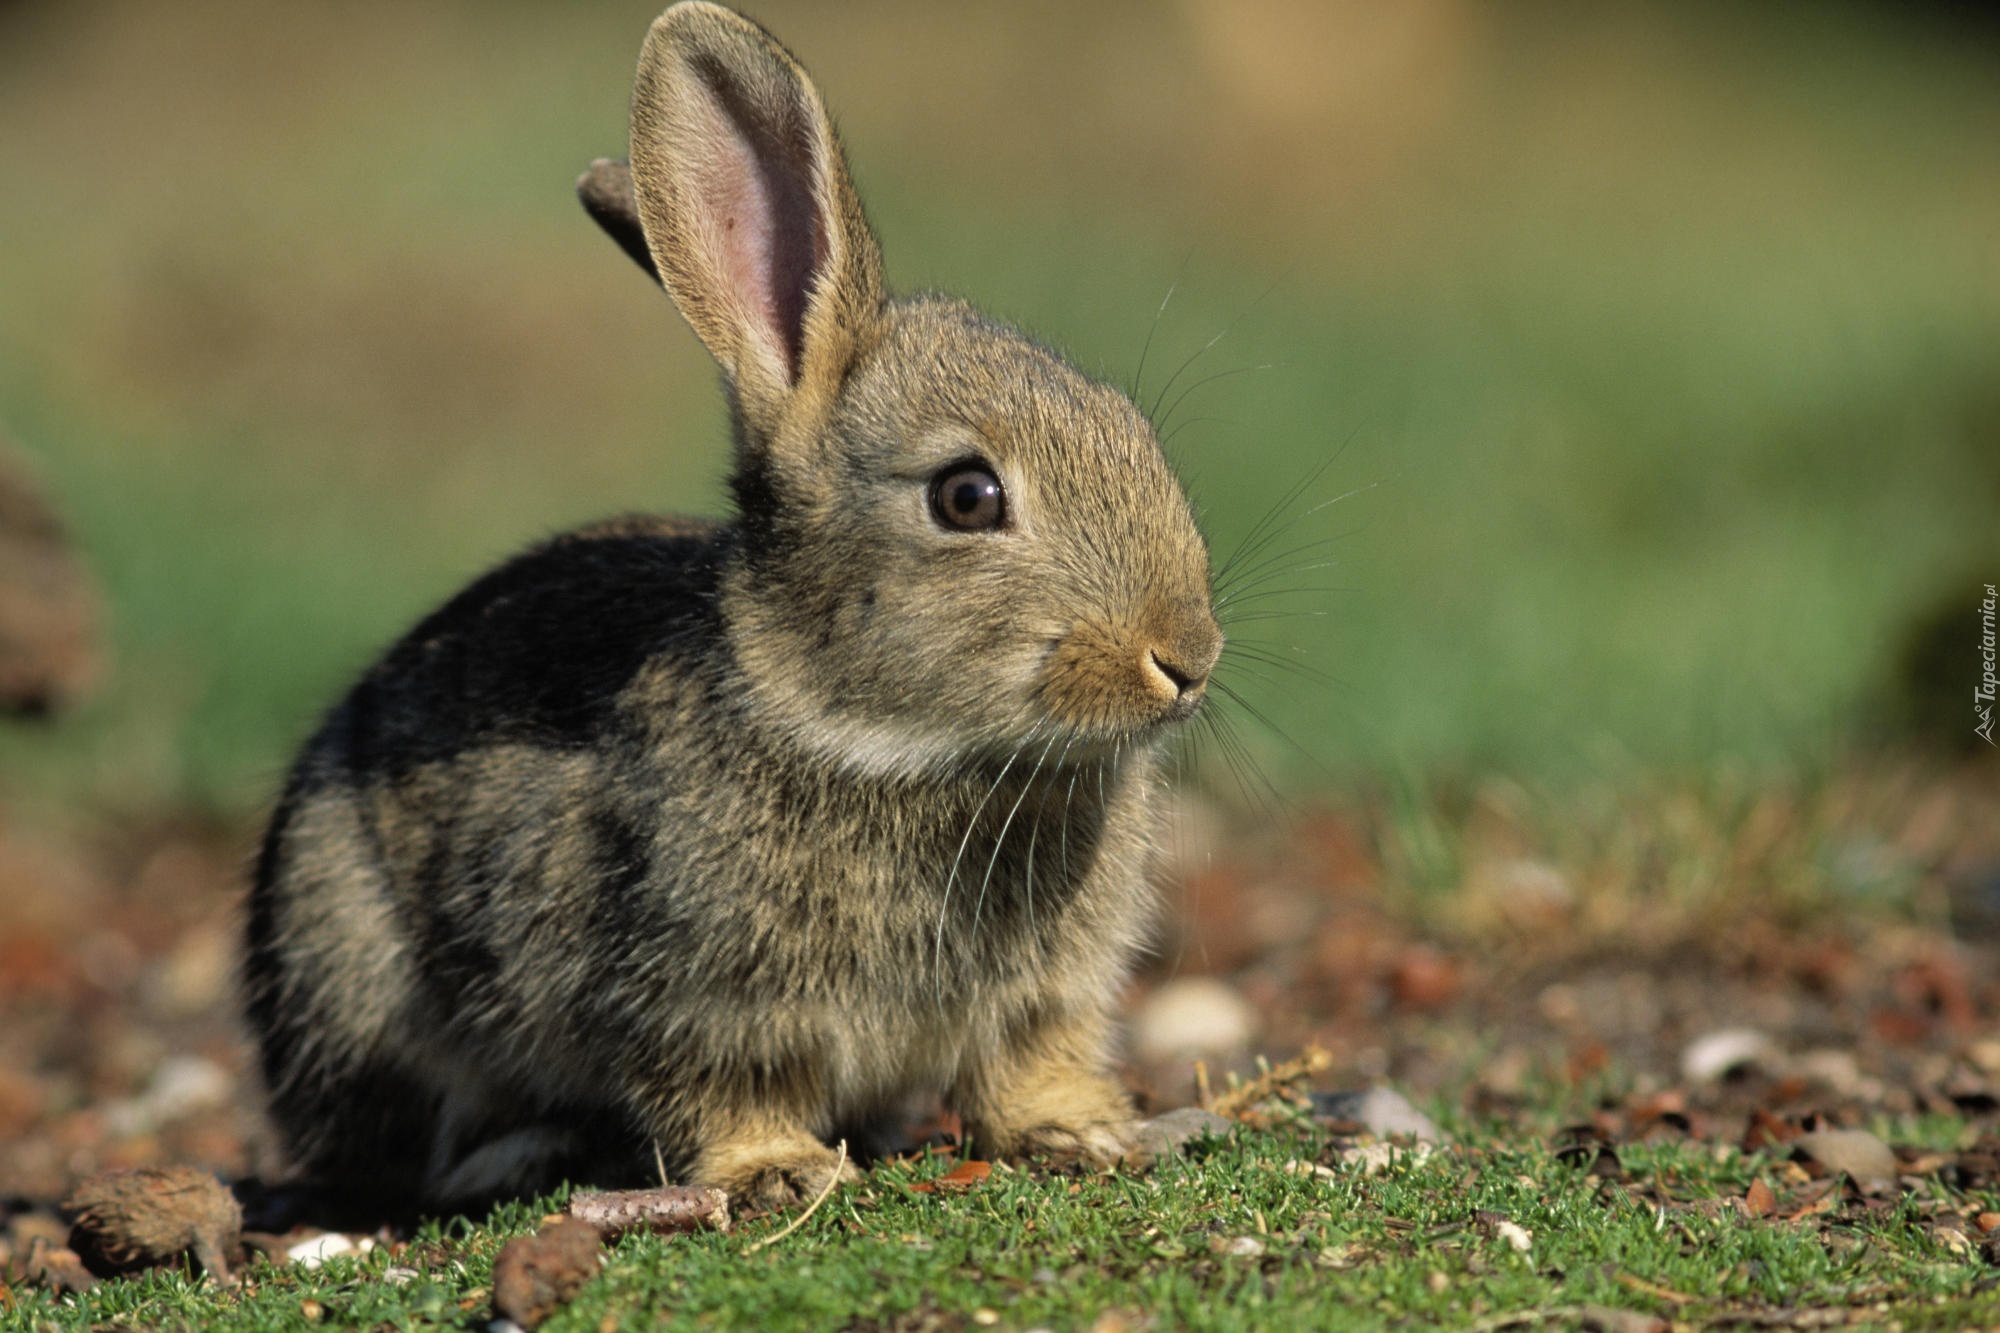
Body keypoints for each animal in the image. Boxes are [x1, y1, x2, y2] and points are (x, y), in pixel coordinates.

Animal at [242, 0, 1224, 1216]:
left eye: (1132, 431)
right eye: (965, 495)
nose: (1186, 656)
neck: (893, 745)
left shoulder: (1045, 995)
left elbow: (1030, 1059)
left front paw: (1081, 1130)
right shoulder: (686, 992)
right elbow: (721, 1090)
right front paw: (778, 1172)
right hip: (347, 958)